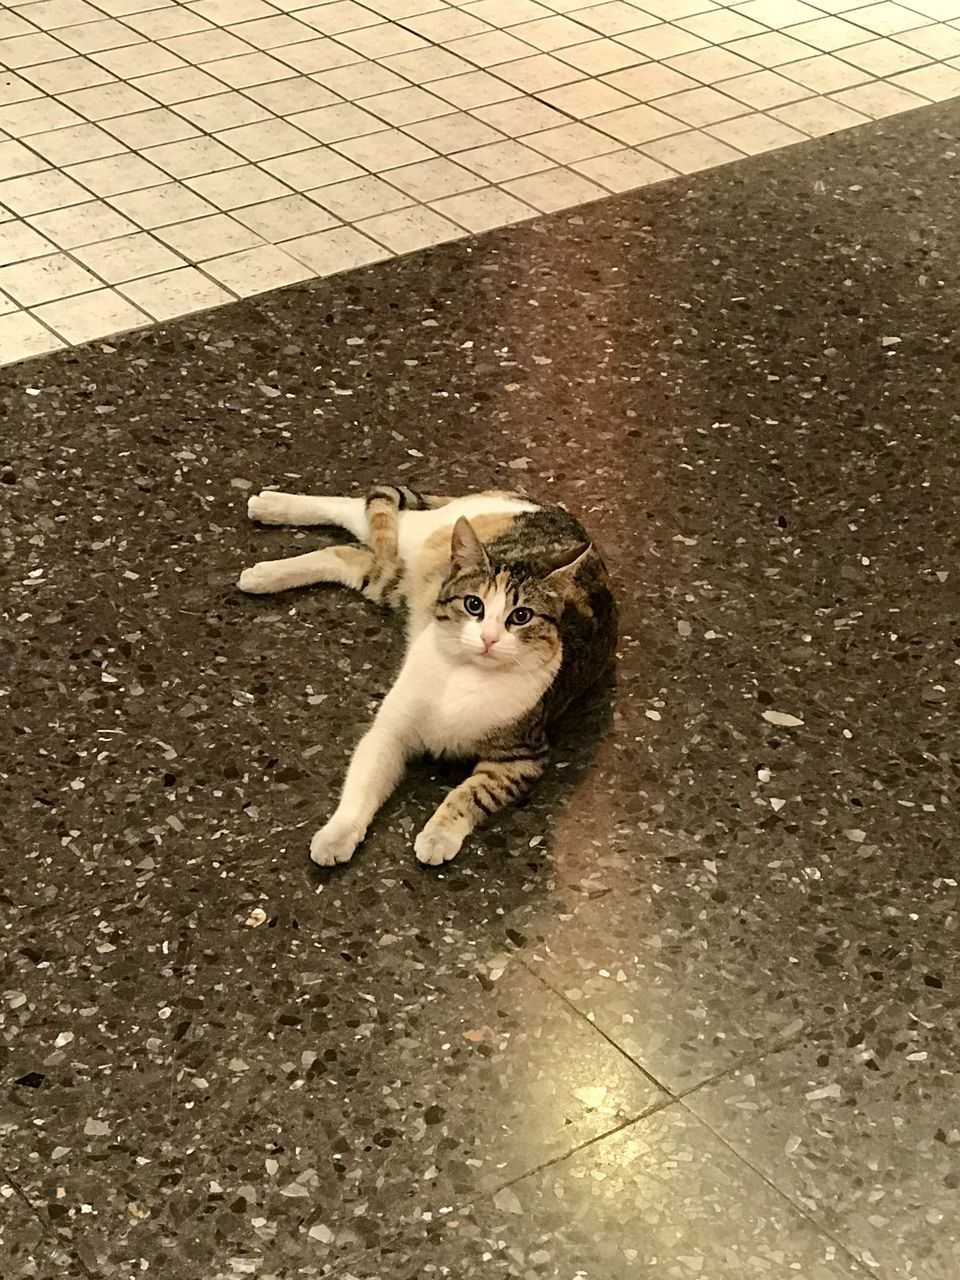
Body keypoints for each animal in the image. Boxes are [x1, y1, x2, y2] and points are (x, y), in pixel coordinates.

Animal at [236, 483, 619, 865]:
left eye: (521, 616)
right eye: (474, 605)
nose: (489, 638)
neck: (464, 673)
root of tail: (540, 504)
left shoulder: (522, 757)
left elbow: (472, 793)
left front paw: (439, 834)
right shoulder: (390, 731)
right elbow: (362, 782)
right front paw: (337, 832)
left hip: (394, 582)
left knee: (348, 553)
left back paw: (264, 568)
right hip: (413, 539)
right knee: (359, 510)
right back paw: (271, 508)